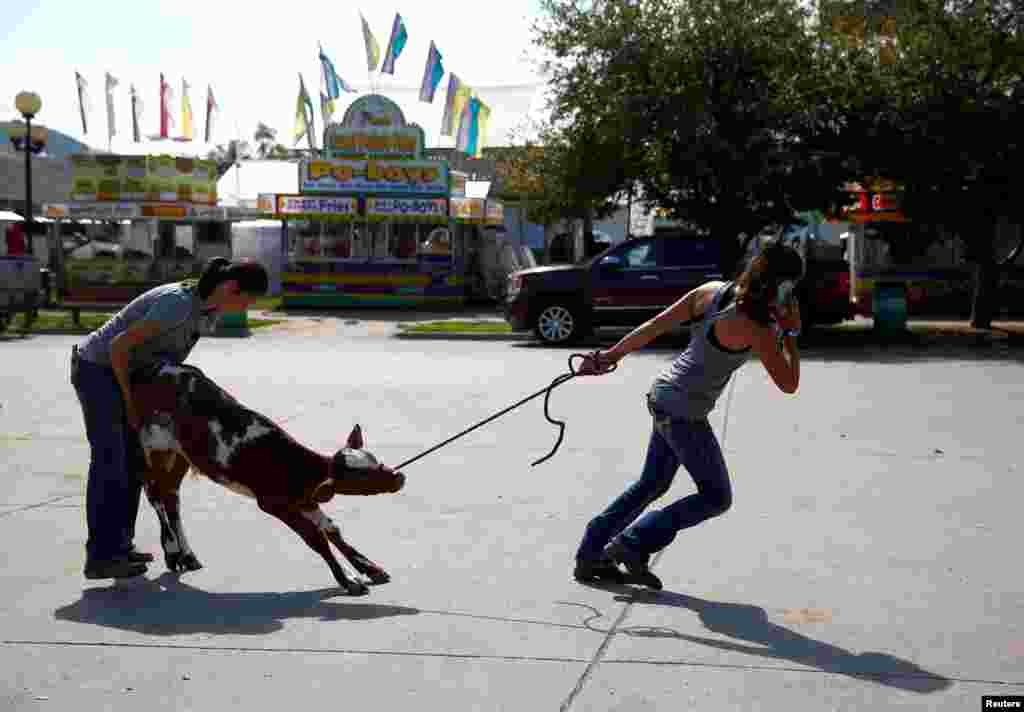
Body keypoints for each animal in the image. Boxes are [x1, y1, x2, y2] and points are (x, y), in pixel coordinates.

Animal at [132, 362, 407, 594]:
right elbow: (315, 538)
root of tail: (160, 370)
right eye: (361, 477)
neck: (293, 467)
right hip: (152, 447)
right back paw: (171, 551)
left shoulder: (305, 499)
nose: (399, 476)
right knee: (155, 494)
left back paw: (187, 556)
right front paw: (348, 580)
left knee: (172, 498)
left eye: (375, 459)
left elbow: (331, 529)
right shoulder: (273, 503)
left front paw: (370, 568)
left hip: (180, 455)